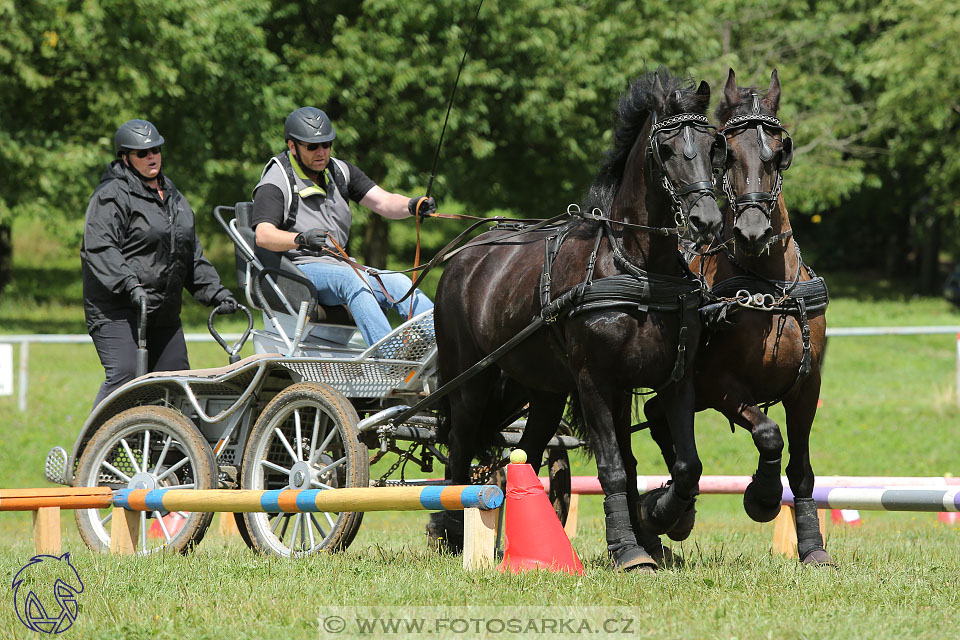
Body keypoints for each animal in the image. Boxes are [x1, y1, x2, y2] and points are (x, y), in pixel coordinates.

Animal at [434, 70, 720, 568]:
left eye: (711, 145)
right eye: (665, 150)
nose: (707, 220)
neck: (636, 268)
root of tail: (462, 256)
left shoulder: (670, 379)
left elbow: (683, 464)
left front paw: (662, 520)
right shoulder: (593, 381)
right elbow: (613, 466)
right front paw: (629, 548)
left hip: (542, 392)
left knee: (524, 457)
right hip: (470, 382)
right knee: (460, 451)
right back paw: (452, 534)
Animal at [636, 67, 832, 564]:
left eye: (779, 152)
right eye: (727, 153)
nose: (752, 230)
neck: (768, 291)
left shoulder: (807, 385)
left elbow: (802, 468)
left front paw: (812, 548)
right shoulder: (718, 385)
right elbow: (768, 434)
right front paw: (762, 496)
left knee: (657, 415)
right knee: (661, 421)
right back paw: (668, 511)